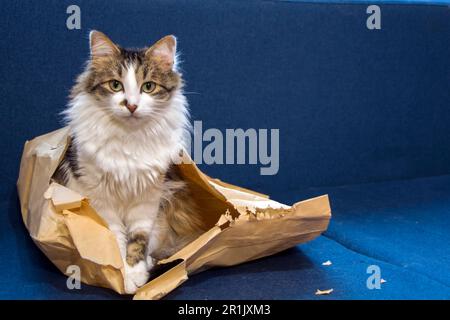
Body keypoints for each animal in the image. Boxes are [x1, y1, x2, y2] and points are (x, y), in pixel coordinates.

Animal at [53, 31, 206, 294]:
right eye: (115, 85)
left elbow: (137, 239)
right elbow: (116, 238)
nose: (132, 105)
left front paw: (135, 273)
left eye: (148, 87)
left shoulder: (148, 198)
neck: (129, 137)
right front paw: (121, 273)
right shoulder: (100, 198)